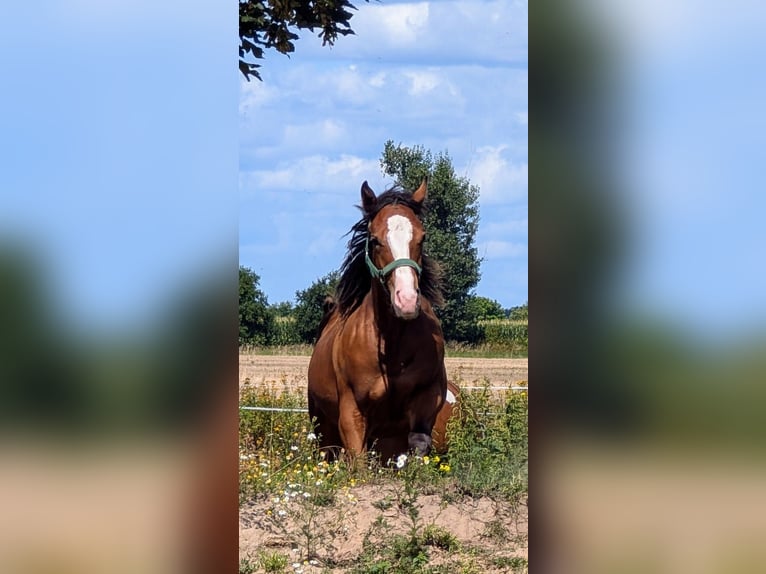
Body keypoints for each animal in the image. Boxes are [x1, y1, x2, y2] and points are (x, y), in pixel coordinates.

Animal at [308, 180, 450, 464]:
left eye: (423, 237)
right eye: (374, 240)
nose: (406, 300)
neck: (390, 348)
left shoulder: (427, 400)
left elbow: (418, 443)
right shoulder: (351, 413)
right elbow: (358, 461)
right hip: (322, 426)